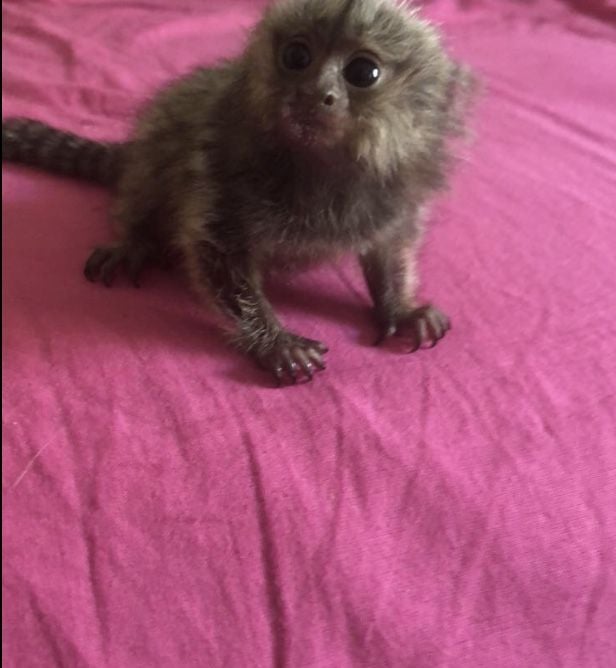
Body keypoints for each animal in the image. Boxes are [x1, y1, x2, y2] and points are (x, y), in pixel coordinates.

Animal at [2, 0, 474, 385]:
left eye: (363, 72)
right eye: (297, 57)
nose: (313, 91)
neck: (318, 169)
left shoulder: (394, 197)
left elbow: (389, 250)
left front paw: (399, 308)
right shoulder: (222, 167)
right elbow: (219, 257)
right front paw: (275, 343)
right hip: (152, 156)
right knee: (151, 174)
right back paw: (135, 240)